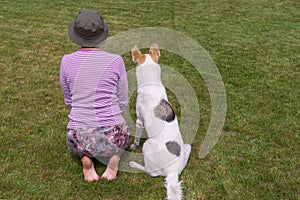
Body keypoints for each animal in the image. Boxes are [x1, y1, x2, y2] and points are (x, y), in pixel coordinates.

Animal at [129, 43, 191, 200]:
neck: (151, 83)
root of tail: (172, 172)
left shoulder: (139, 121)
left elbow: (136, 138)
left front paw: (133, 145)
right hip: (187, 147)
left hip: (148, 145)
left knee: (151, 172)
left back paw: (134, 164)